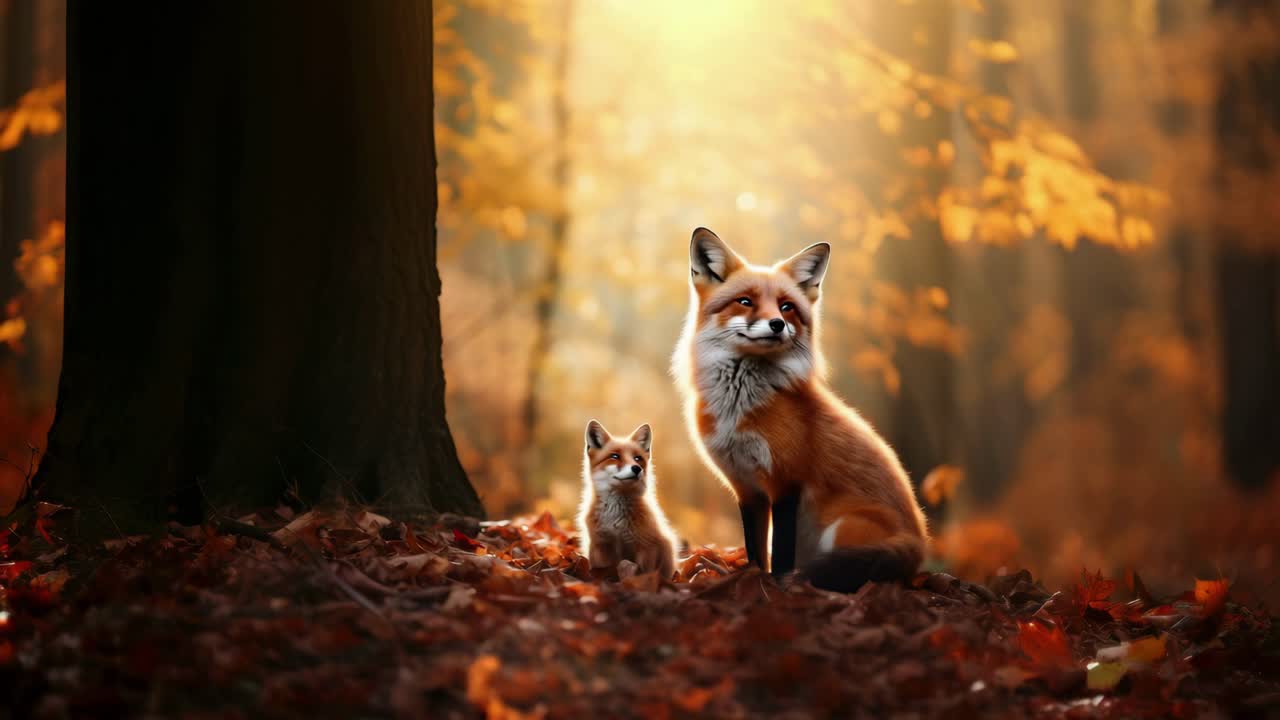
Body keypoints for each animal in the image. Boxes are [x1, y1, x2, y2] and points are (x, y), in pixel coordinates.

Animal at [576, 419, 679, 579]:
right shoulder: (600, 545)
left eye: (638, 458)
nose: (636, 468)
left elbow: (645, 574)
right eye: (614, 456)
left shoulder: (647, 546)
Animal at [672, 227, 928, 592]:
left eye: (786, 306)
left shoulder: (786, 480)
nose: (777, 324)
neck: (740, 409)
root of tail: (919, 544)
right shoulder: (745, 487)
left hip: (842, 526)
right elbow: (755, 549)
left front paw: (778, 585)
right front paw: (752, 579)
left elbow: (780, 550)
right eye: (745, 302)